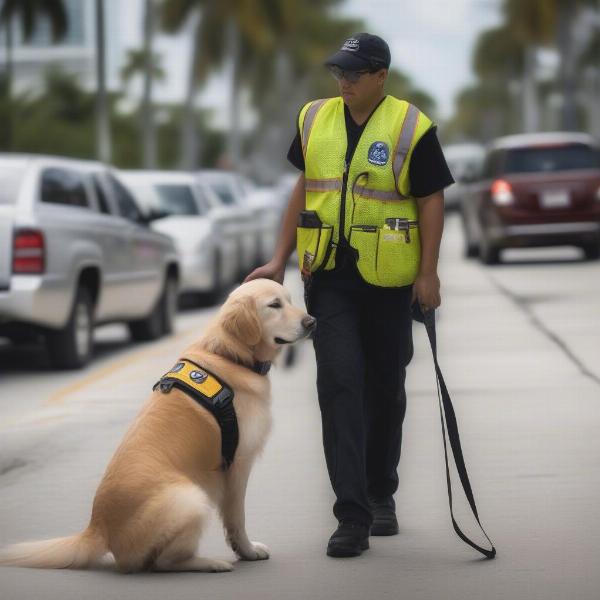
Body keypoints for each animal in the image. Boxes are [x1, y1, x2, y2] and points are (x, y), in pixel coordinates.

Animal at [0, 278, 316, 576]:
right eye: (274, 305)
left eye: (290, 300)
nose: (311, 322)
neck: (229, 354)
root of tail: (98, 527)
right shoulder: (237, 464)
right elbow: (237, 519)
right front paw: (247, 551)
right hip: (193, 497)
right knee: (163, 563)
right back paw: (210, 563)